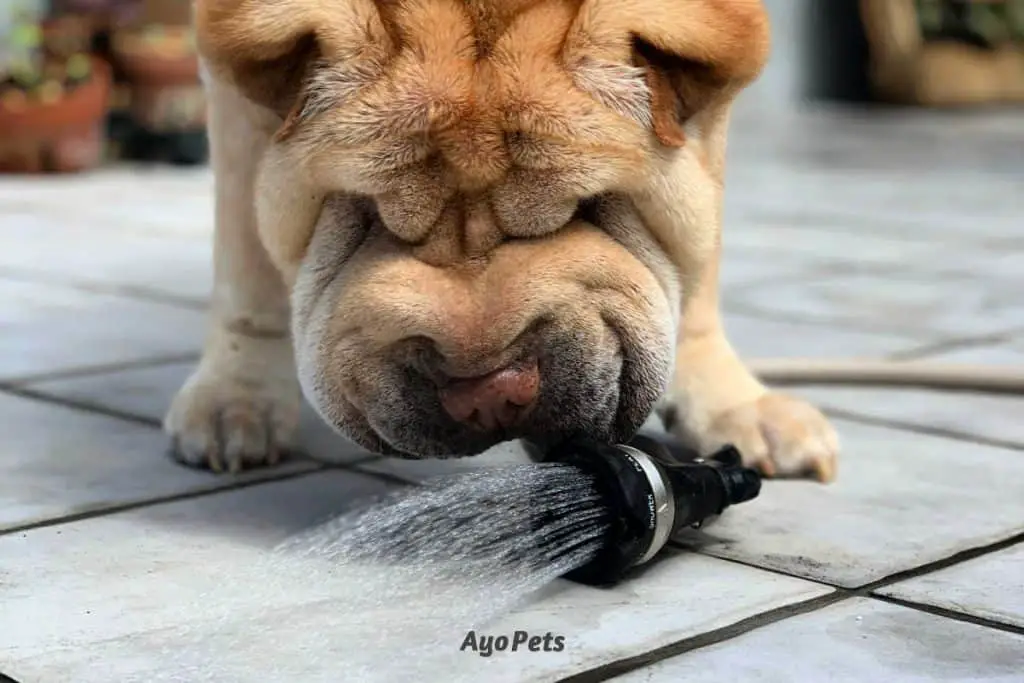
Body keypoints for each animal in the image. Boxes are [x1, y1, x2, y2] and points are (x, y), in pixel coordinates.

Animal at [165, 0, 839, 481]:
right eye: (370, 214)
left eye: (585, 207)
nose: (486, 395)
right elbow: (247, 259)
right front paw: (236, 400)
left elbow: (697, 265)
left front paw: (734, 406)